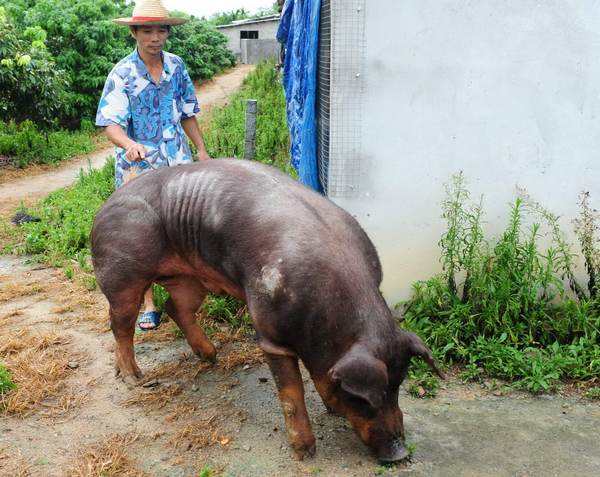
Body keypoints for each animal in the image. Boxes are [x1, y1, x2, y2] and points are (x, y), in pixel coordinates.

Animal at [91, 159, 442, 462]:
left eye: (397, 386)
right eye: (364, 398)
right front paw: (305, 452)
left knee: (175, 307)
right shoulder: (270, 335)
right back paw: (135, 379)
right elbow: (291, 394)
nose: (401, 453)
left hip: (188, 277)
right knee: (119, 325)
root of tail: (103, 207)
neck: (330, 318)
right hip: (121, 273)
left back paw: (210, 356)